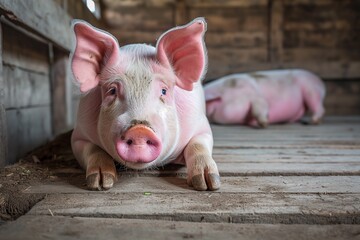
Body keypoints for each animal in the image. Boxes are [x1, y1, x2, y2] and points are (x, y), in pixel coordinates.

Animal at [69, 18, 221, 191]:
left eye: (163, 91)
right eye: (112, 91)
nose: (139, 130)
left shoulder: (201, 127)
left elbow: (198, 146)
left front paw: (208, 184)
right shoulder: (79, 135)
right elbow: (93, 149)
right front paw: (100, 183)